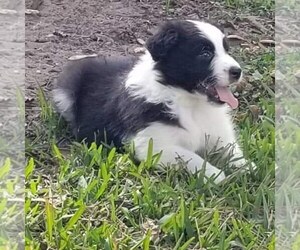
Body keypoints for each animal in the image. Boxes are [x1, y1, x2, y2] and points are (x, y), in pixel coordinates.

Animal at [52, 20, 254, 184]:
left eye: (227, 50)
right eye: (205, 53)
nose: (237, 71)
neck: (190, 103)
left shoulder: (217, 131)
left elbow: (231, 149)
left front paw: (247, 166)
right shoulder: (152, 145)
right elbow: (190, 156)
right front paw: (215, 175)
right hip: (65, 94)